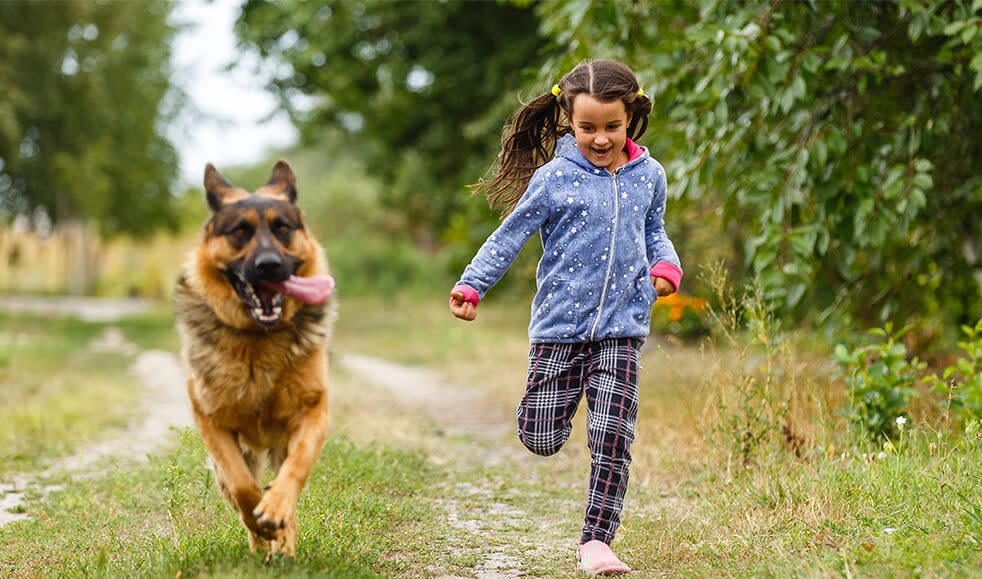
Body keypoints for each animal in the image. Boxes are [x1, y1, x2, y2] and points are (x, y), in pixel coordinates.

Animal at [173, 161, 334, 560]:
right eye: (240, 232)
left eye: (283, 229)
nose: (269, 265)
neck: (260, 339)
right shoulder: (214, 424)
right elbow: (243, 487)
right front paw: (260, 521)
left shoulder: (313, 414)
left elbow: (295, 469)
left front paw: (275, 512)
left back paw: (282, 542)